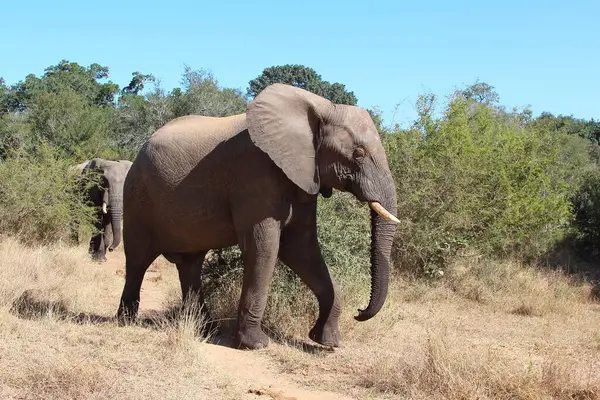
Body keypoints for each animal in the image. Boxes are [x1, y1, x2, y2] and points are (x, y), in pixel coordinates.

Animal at [116, 83, 398, 350]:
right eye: (358, 154)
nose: (359, 312)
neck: (321, 107)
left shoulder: (304, 177)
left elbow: (301, 248)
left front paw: (328, 343)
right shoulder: (254, 173)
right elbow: (265, 247)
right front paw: (256, 345)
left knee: (190, 264)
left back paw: (206, 330)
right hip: (137, 195)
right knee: (138, 259)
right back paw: (126, 321)